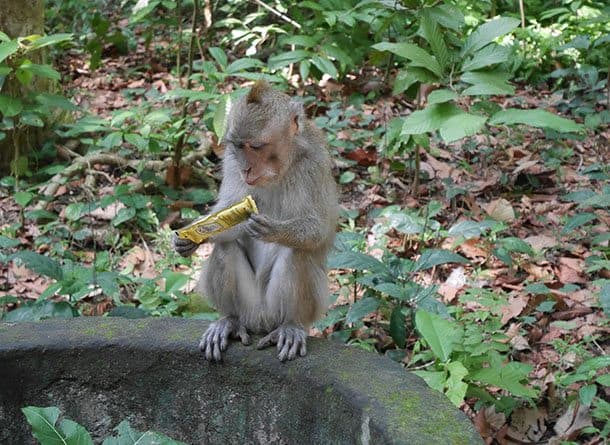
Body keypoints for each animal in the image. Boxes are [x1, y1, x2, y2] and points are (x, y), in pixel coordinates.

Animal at [173, 80, 338, 360]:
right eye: (239, 146)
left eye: (257, 147)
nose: (246, 168)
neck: (281, 168)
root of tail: (261, 321)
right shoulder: (230, 162)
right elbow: (227, 212)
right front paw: (191, 238)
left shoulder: (313, 165)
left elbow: (316, 229)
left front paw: (272, 230)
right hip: (250, 307)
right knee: (225, 248)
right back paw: (229, 320)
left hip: (280, 309)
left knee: (297, 253)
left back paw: (291, 326)